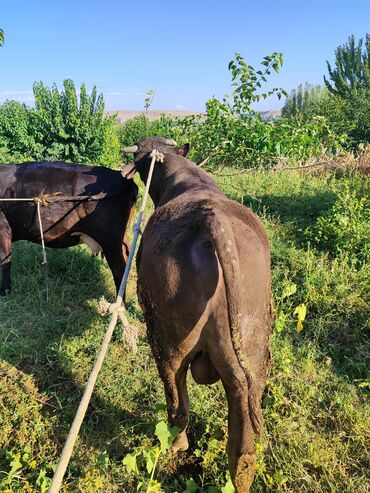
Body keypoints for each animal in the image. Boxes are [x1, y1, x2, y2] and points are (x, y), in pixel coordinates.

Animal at [0, 161, 137, 294]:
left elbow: (5, 262)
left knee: (119, 269)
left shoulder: (4, 229)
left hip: (110, 241)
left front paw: (5, 291)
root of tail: (126, 180)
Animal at [122, 136, 272, 490]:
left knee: (176, 399)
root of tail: (210, 219)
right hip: (252, 347)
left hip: (167, 342)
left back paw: (177, 444)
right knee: (243, 418)